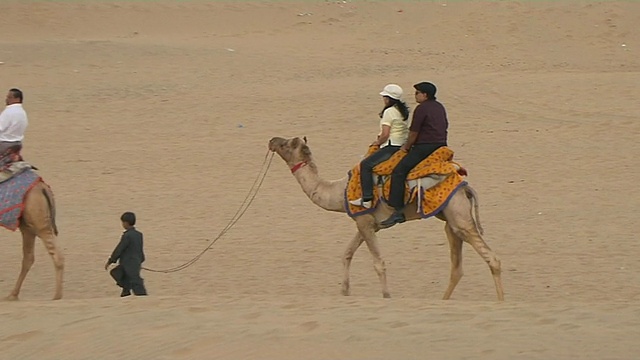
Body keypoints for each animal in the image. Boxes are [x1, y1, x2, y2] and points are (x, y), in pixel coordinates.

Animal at [268, 137, 502, 300]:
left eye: (287, 144)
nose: (272, 140)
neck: (338, 191)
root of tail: (465, 187)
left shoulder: (364, 222)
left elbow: (378, 263)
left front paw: (387, 297)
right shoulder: (367, 223)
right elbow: (347, 254)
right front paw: (344, 292)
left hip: (459, 216)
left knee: (492, 258)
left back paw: (501, 301)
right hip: (450, 220)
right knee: (457, 267)